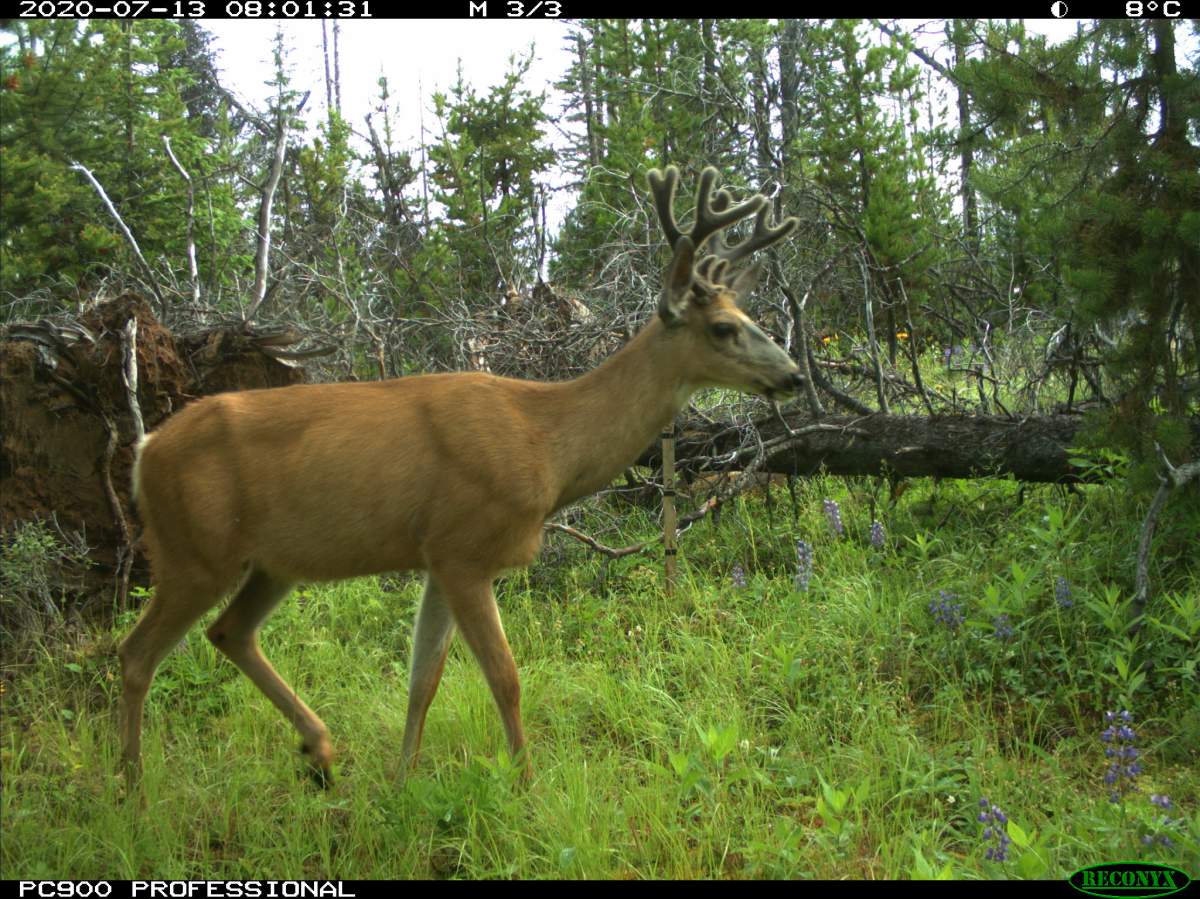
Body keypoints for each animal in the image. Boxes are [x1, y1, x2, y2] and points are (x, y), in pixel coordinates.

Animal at [118, 165, 802, 787]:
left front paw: (401, 781)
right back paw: (133, 791)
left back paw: (320, 749)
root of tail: (145, 451)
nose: (794, 375)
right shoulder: (465, 547)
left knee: (228, 632)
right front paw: (527, 786)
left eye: (749, 316)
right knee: (135, 653)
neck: (547, 444)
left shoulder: (436, 556)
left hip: (271, 562)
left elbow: (424, 677)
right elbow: (505, 676)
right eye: (723, 328)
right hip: (194, 551)